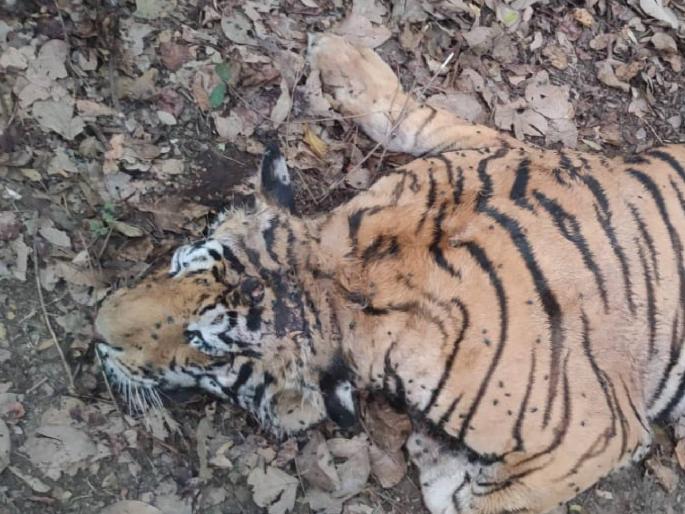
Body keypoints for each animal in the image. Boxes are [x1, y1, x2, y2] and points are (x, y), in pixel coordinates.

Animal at [93, 34, 685, 514]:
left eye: (203, 344)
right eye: (175, 264)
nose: (96, 334)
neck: (346, 274)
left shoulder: (597, 435)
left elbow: (480, 502)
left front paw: (441, 466)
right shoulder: (494, 147)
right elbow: (417, 117)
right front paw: (337, 54)